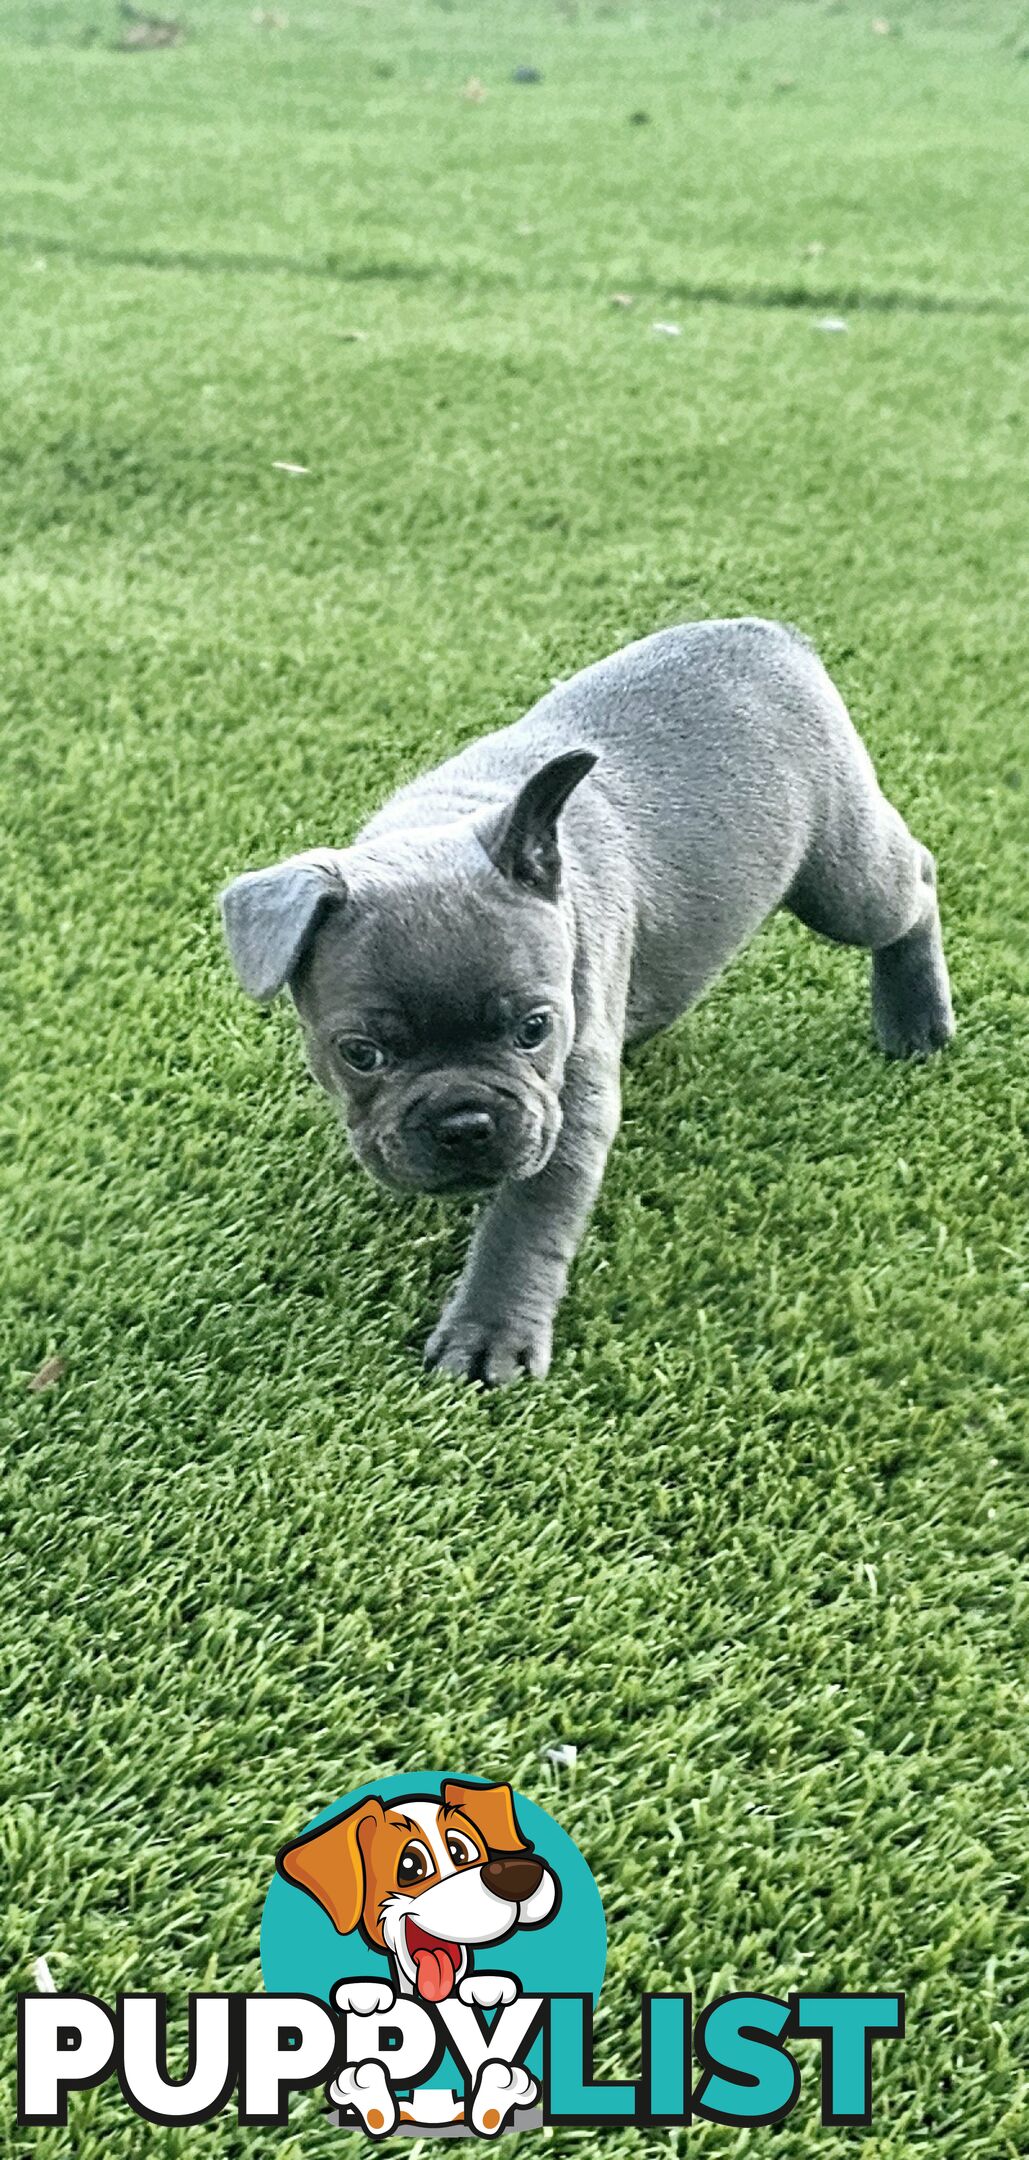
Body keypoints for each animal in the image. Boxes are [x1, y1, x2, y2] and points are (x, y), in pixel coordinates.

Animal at [221, 613, 951, 1382]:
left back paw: (917, 1021)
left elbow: (525, 1221)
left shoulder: (565, 1109)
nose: (464, 1123)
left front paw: (489, 1331)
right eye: (360, 1054)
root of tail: (771, 632)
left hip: (842, 878)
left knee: (912, 883)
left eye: (534, 1029)